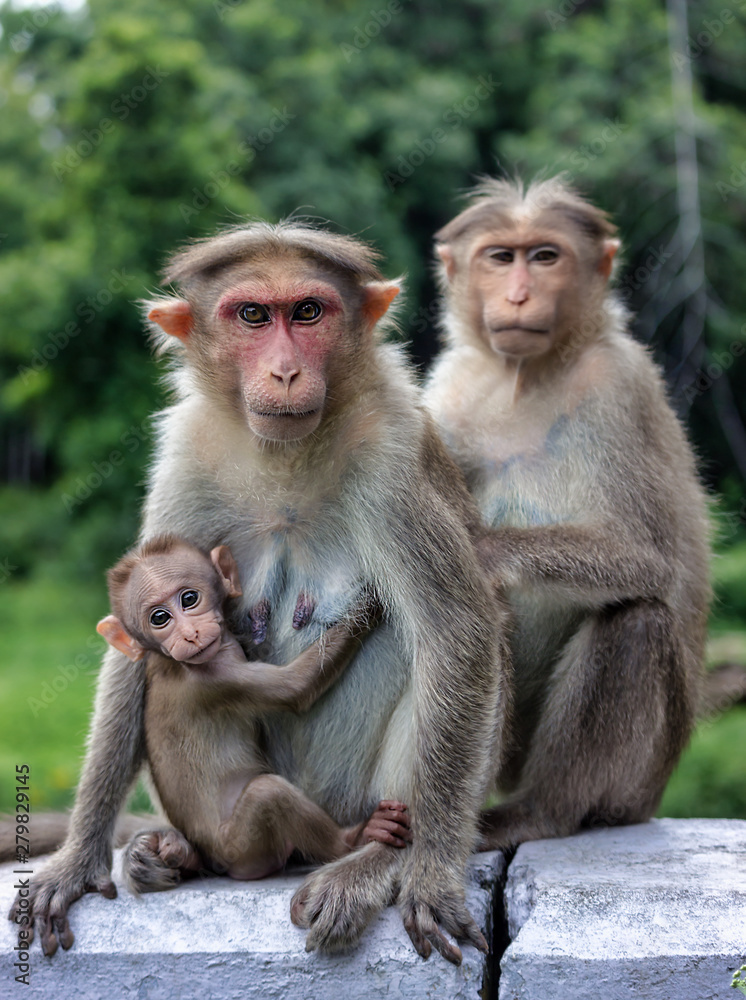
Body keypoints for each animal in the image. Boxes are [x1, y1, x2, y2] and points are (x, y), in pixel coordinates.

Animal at [96, 536, 410, 888]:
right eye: (159, 618)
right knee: (267, 793)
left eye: (189, 599)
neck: (172, 660)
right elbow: (296, 689)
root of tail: (220, 863)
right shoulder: (219, 677)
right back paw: (352, 839)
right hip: (243, 847)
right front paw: (368, 607)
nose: (188, 634)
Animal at [424, 176, 708, 848]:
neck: (524, 376)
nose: (519, 294)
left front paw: (483, 551)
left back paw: (542, 811)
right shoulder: (452, 386)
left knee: (635, 620)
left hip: (639, 781)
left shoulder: (617, 385)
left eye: (545, 256)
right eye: (502, 257)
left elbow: (647, 558)